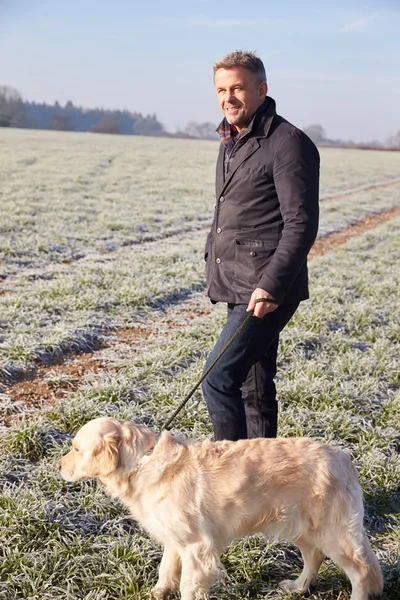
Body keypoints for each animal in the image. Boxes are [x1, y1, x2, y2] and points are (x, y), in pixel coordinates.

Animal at [57, 418, 382, 600]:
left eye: (76, 449)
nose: (57, 466)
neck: (143, 462)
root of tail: (342, 458)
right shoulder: (176, 539)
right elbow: (166, 570)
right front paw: (158, 592)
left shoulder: (197, 547)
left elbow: (188, 586)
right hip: (300, 527)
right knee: (314, 557)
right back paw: (298, 587)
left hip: (333, 533)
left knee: (362, 571)